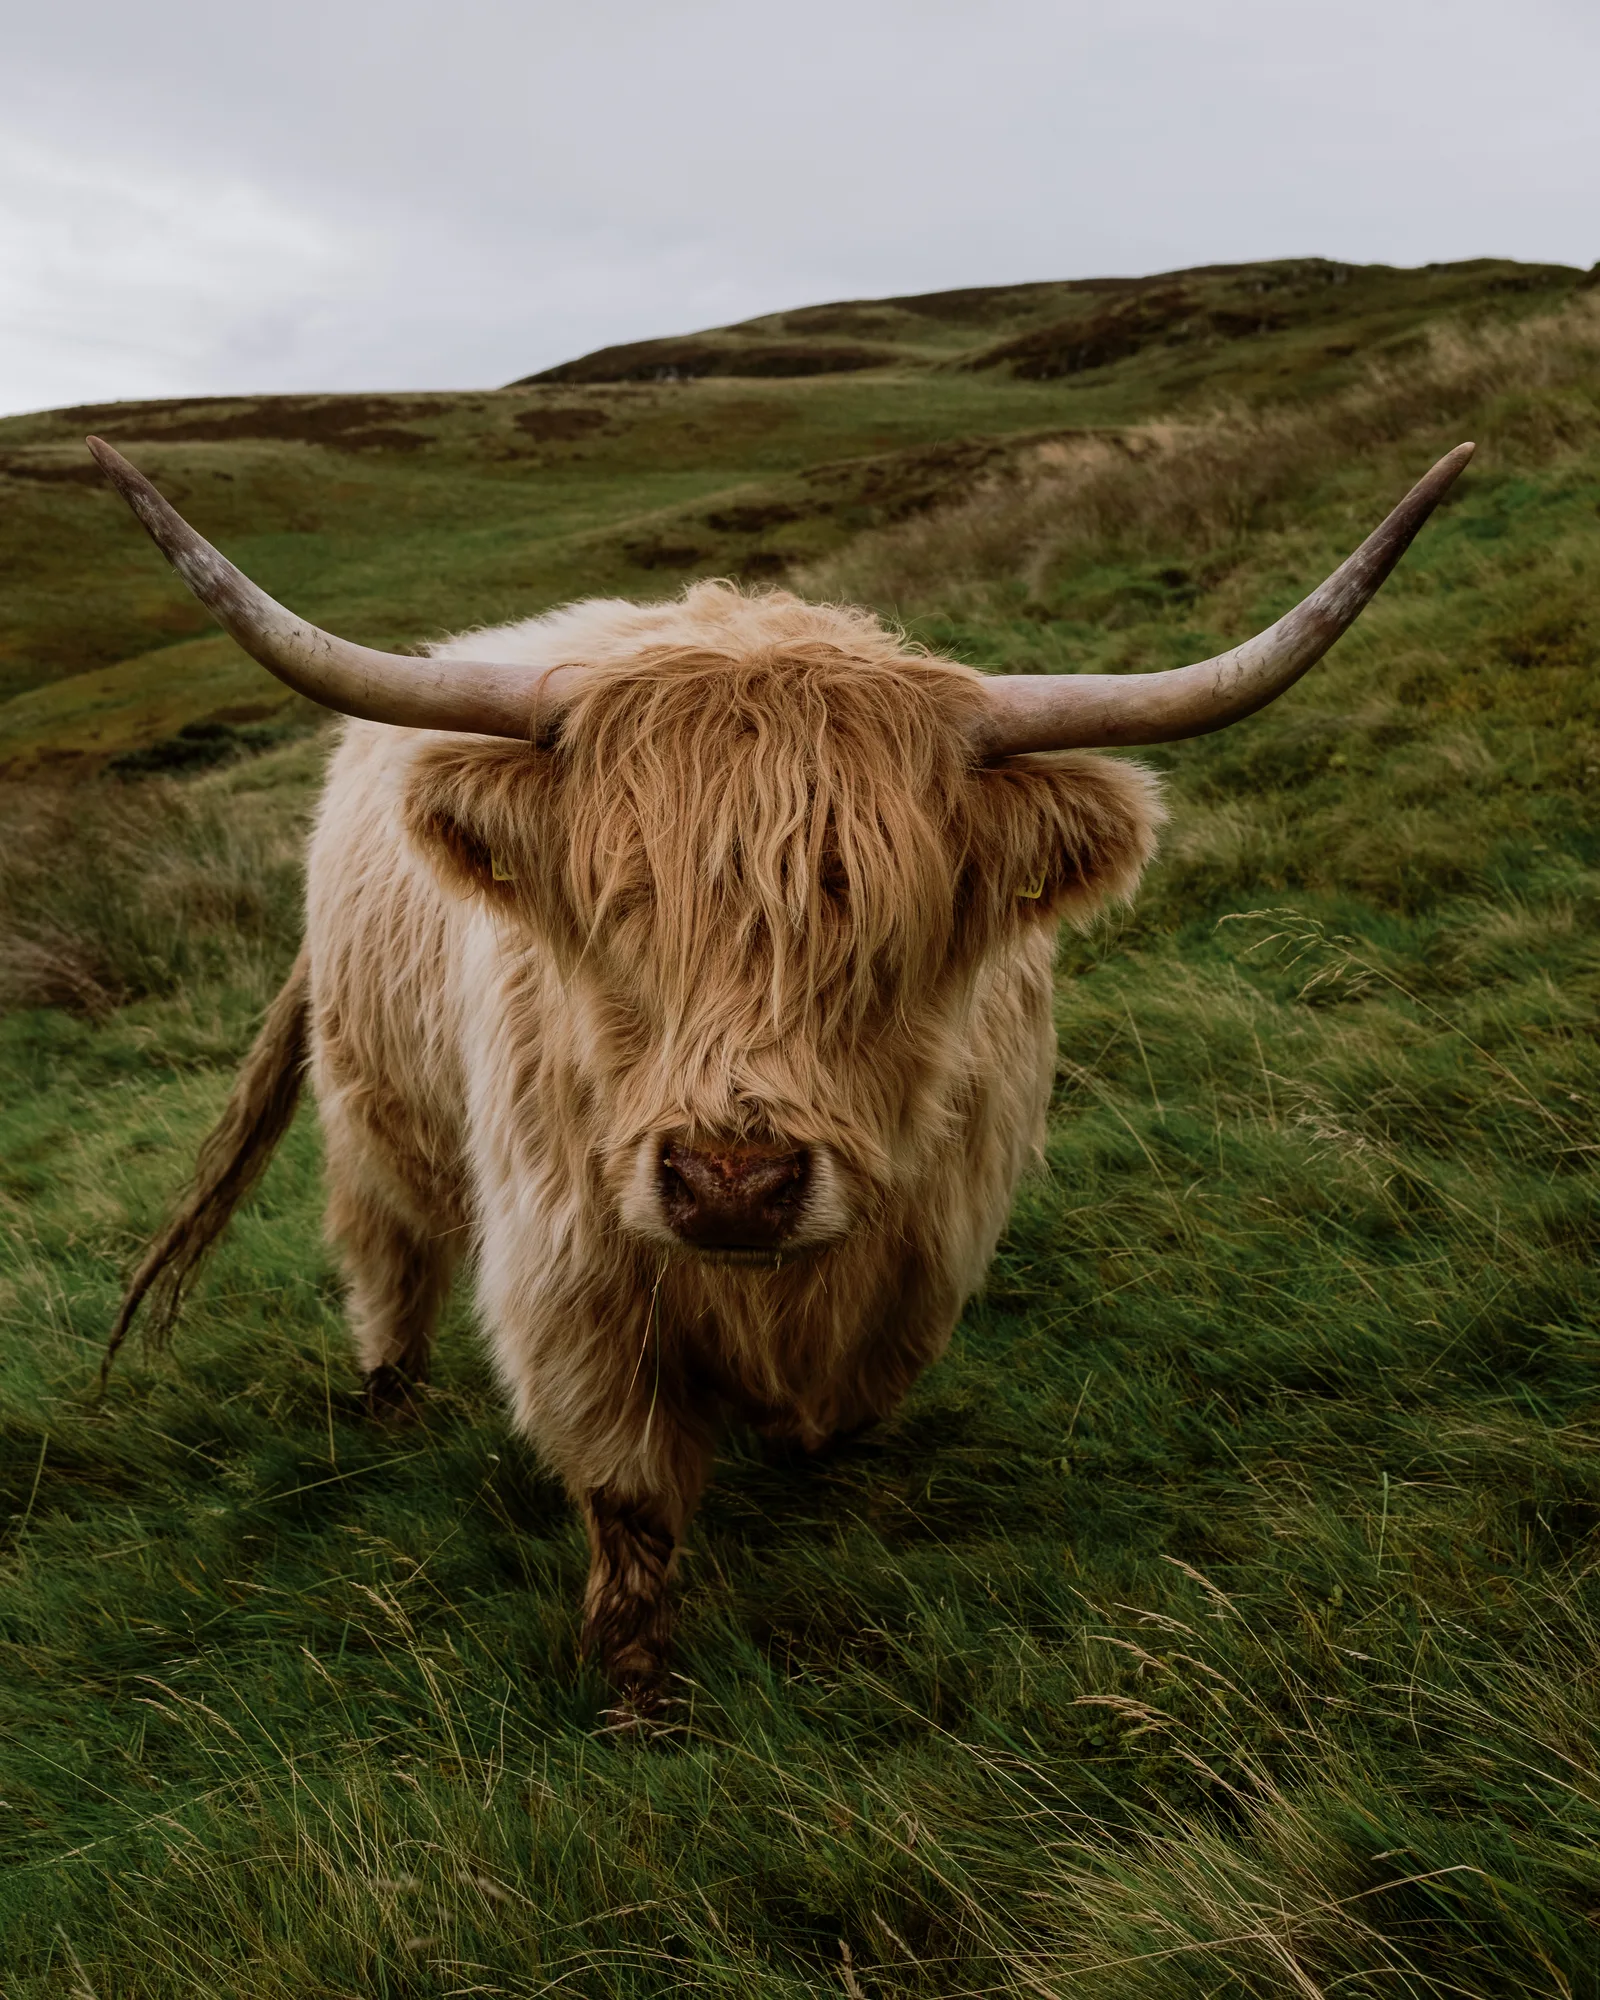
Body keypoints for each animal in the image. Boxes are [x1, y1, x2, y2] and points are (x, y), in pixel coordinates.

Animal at [91, 435, 1472, 1710]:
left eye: (880, 910)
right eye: (621, 902)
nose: (731, 1183)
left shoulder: (926, 1247)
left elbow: (845, 1403)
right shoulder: (570, 1267)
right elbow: (629, 1489)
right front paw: (637, 1691)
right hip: (375, 1096)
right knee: (382, 1249)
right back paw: (388, 1397)